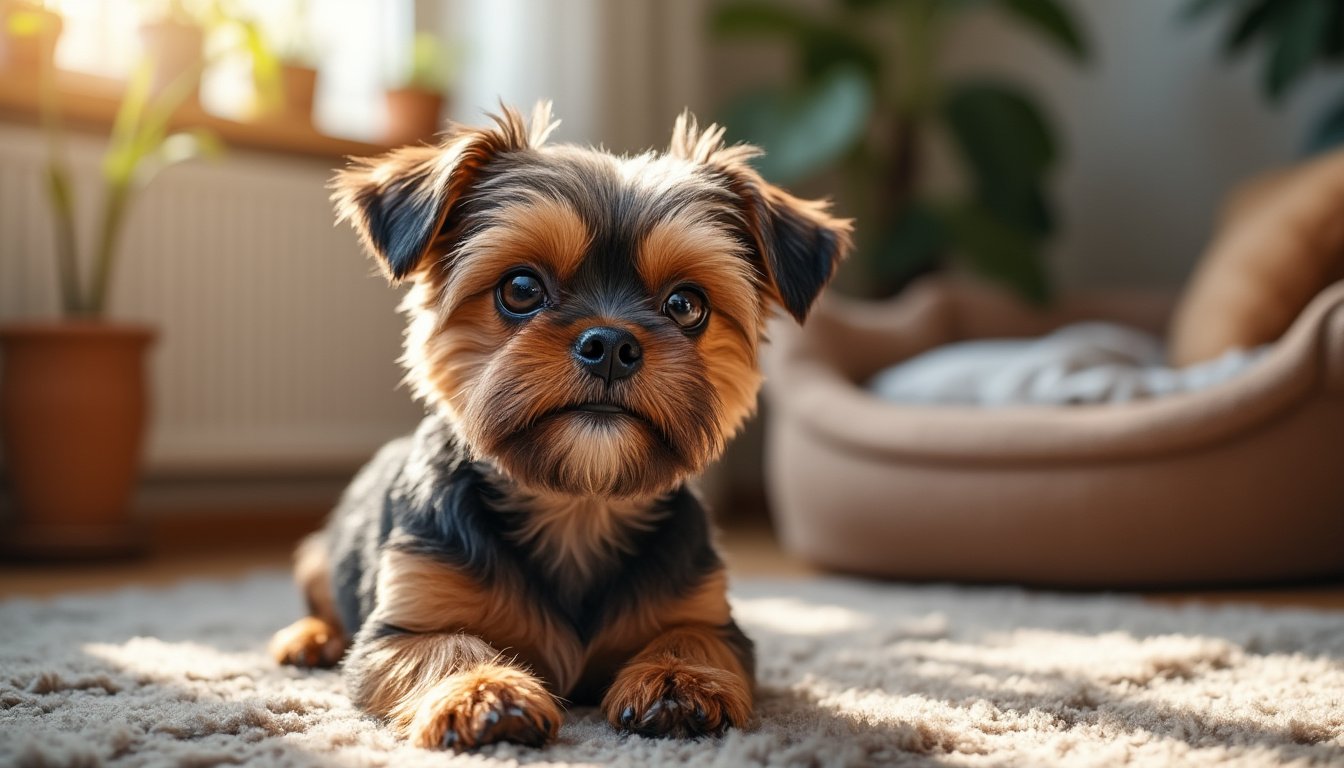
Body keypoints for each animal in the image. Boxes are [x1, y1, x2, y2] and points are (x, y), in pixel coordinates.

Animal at [267, 102, 844, 753]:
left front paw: (678, 683)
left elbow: (692, 637)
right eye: (520, 289)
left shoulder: (706, 614)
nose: (610, 344)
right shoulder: (403, 625)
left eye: (686, 304)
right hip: (318, 554)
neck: (577, 506)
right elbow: (445, 646)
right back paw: (309, 638)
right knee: (324, 604)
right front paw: (485, 693)